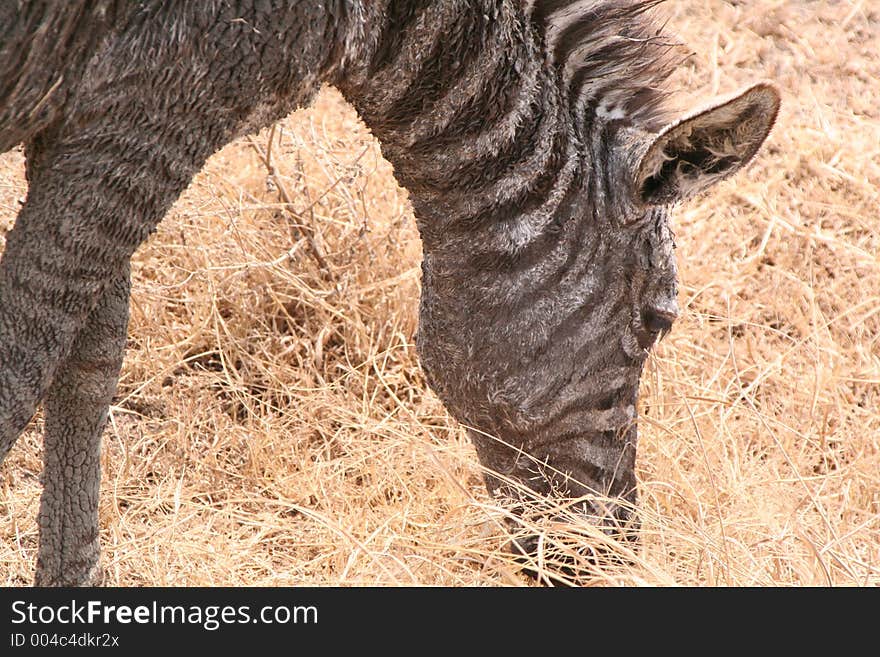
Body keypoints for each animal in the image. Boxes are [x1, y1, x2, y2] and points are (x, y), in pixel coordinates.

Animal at [0, 0, 780, 584]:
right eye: (657, 321)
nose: (616, 555)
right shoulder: (151, 111)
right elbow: (22, 363)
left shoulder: (91, 121)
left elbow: (88, 364)